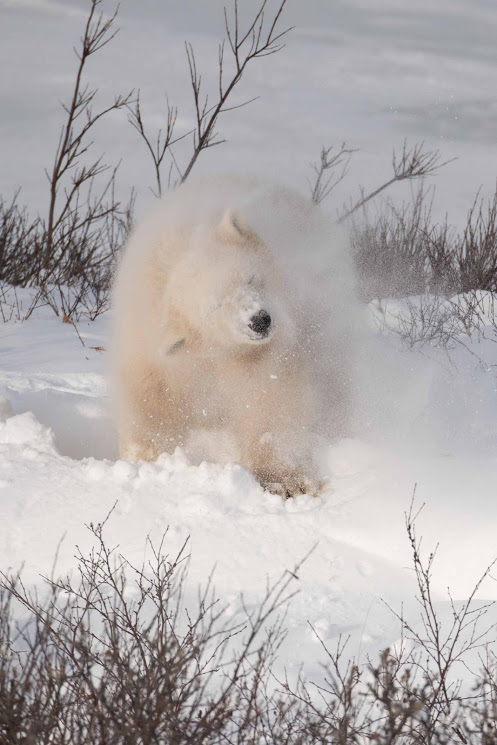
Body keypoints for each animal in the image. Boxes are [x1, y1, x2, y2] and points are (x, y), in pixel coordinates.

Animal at [111, 174, 359, 497]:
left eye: (250, 277)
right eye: (216, 306)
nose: (259, 320)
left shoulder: (264, 351)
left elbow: (270, 399)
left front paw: (285, 480)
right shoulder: (149, 341)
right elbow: (151, 400)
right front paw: (145, 461)